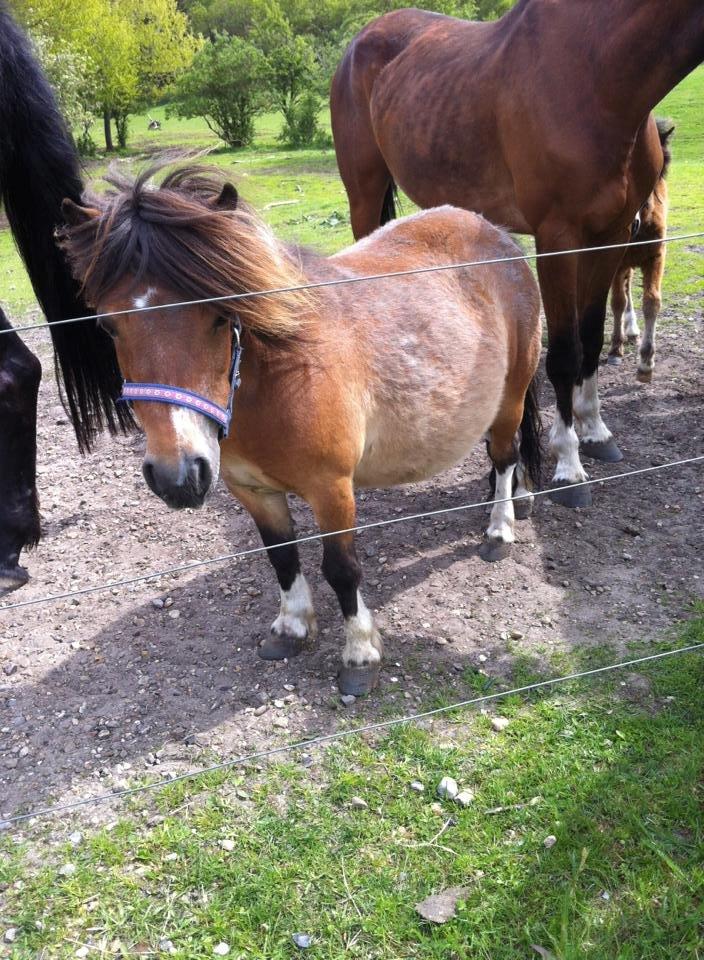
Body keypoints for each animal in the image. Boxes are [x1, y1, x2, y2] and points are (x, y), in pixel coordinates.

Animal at [58, 165, 543, 696]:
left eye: (221, 316)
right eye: (108, 327)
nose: (177, 476)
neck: (280, 376)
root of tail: (493, 233)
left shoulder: (332, 489)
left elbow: (342, 570)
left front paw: (360, 653)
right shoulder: (252, 490)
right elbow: (282, 557)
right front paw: (292, 626)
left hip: (511, 397)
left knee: (504, 455)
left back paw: (500, 528)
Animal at [607, 121, 675, 383]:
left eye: (652, 176)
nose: (631, 224)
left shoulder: (655, 257)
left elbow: (651, 301)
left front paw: (646, 362)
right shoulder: (615, 261)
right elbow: (617, 301)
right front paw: (615, 349)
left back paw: (632, 329)